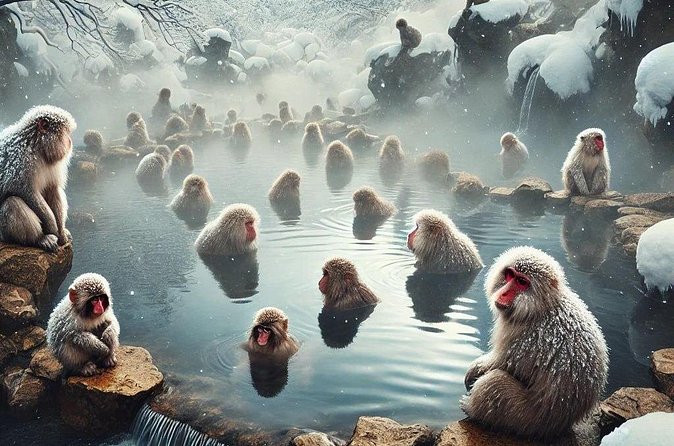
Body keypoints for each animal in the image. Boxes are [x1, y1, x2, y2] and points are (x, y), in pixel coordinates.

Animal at [0, 105, 75, 252]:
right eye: (65, 133)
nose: (69, 142)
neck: (35, 146)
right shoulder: (21, 159)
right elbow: (25, 191)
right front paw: (52, 227)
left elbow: (52, 189)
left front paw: (61, 232)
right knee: (12, 202)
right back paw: (39, 239)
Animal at [461, 246, 609, 440]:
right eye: (510, 275)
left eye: (522, 282)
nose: (504, 292)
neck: (541, 307)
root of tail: (561, 426)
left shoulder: (526, 337)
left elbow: (503, 363)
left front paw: (476, 369)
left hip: (527, 418)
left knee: (494, 383)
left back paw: (471, 408)